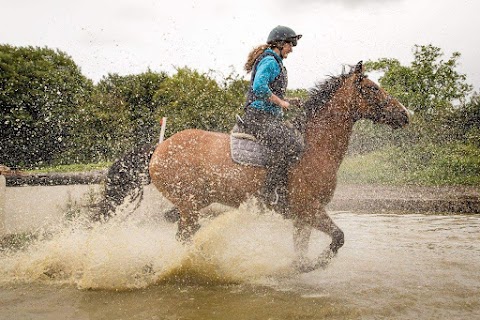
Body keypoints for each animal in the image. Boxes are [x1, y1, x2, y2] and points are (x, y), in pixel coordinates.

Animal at [101, 61, 408, 272]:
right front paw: (317, 264)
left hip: (196, 202)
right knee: (183, 236)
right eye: (373, 88)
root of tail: (158, 149)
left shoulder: (303, 216)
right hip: (189, 204)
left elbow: (302, 251)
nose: (405, 114)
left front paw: (301, 267)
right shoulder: (310, 208)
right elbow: (338, 238)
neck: (314, 147)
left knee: (177, 226)